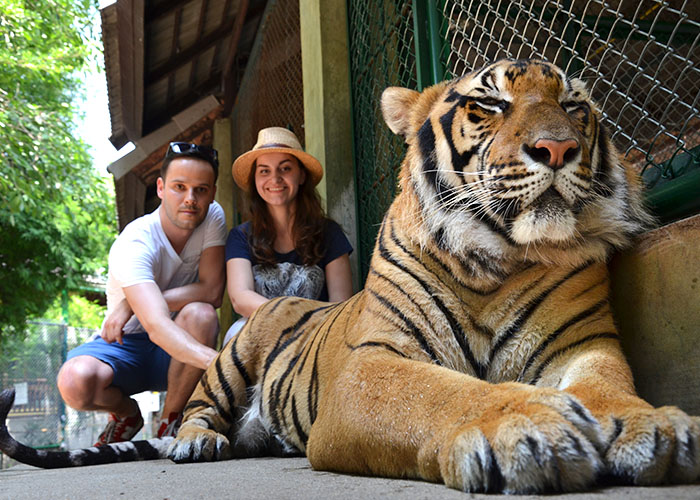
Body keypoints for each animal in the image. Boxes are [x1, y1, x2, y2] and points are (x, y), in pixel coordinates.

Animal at [0, 58, 696, 492]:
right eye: (488, 104)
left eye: (575, 107)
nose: (558, 148)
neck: (496, 259)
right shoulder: (371, 366)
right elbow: (447, 392)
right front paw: (526, 426)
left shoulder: (584, 343)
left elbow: (609, 386)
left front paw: (651, 427)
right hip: (232, 359)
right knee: (196, 405)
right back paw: (194, 441)